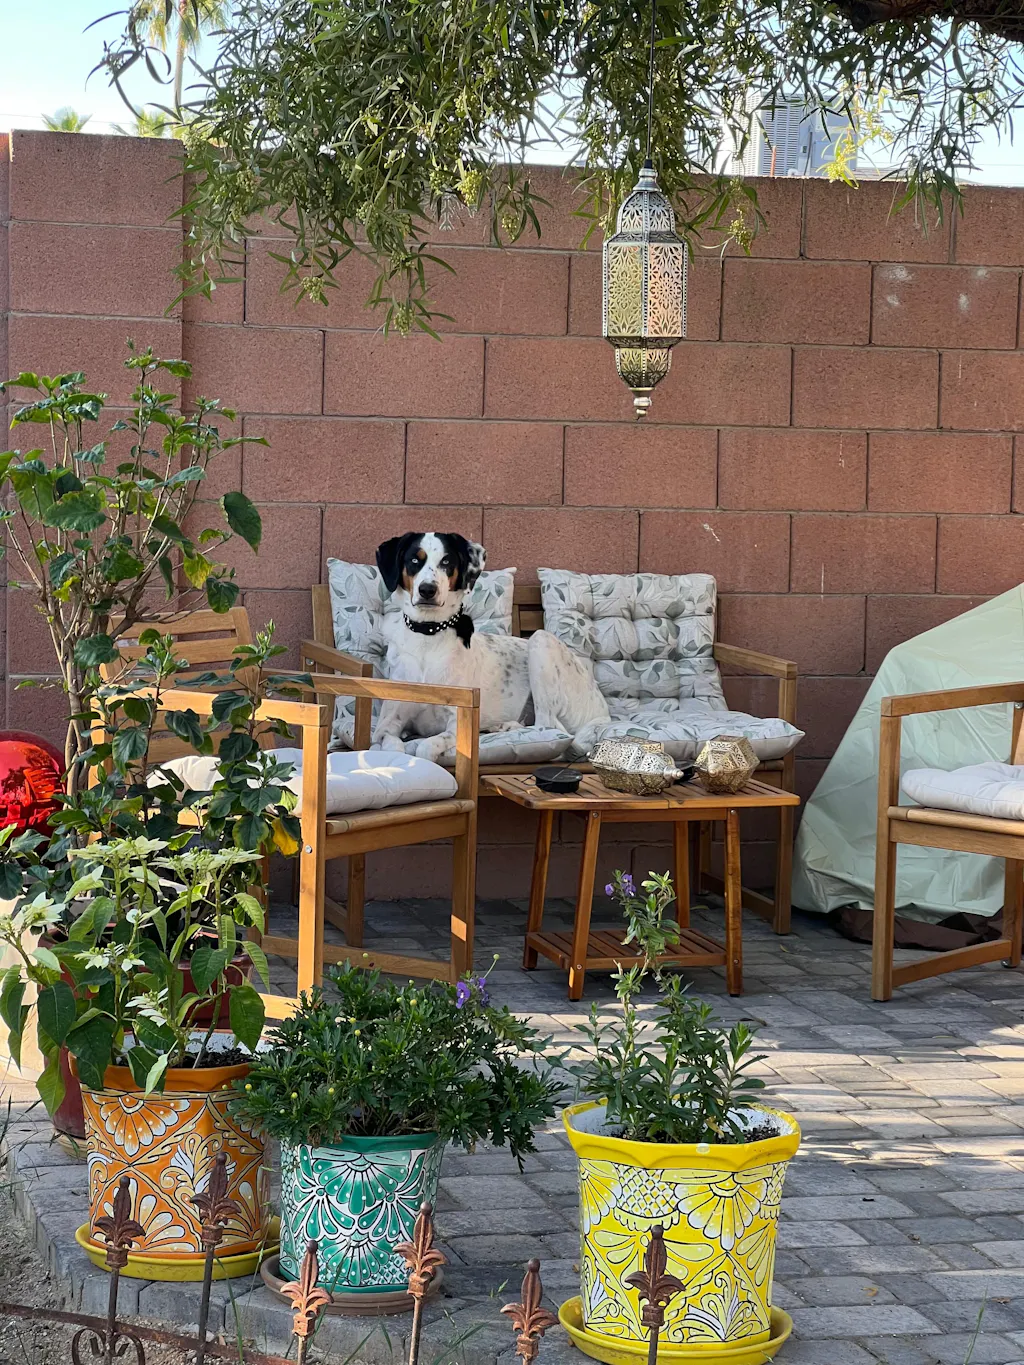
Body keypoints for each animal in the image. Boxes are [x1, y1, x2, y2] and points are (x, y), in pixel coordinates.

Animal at [370, 532, 608, 762]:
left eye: (446, 562)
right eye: (414, 560)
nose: (427, 590)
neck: (427, 638)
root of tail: (603, 711)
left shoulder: (457, 724)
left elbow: (425, 747)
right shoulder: (386, 726)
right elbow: (392, 746)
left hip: (541, 641)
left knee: (550, 727)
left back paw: (505, 727)